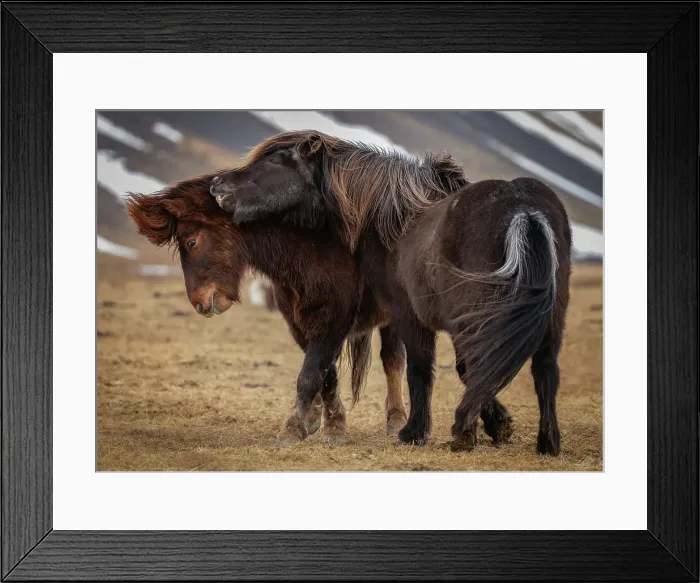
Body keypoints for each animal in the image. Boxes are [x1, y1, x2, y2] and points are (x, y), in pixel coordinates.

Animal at [126, 172, 432, 446]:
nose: (200, 302)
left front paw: (295, 430)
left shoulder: (334, 320)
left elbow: (310, 374)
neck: (313, 248)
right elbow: (324, 373)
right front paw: (326, 423)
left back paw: (396, 419)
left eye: (191, 242)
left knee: (393, 358)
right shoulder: (298, 322)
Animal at [209, 130, 572, 455]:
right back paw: (547, 444)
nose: (217, 186)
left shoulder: (407, 314)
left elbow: (425, 369)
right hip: (549, 319)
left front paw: (419, 432)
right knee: (545, 370)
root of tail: (522, 211)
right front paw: (495, 425)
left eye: (276, 160)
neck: (396, 218)